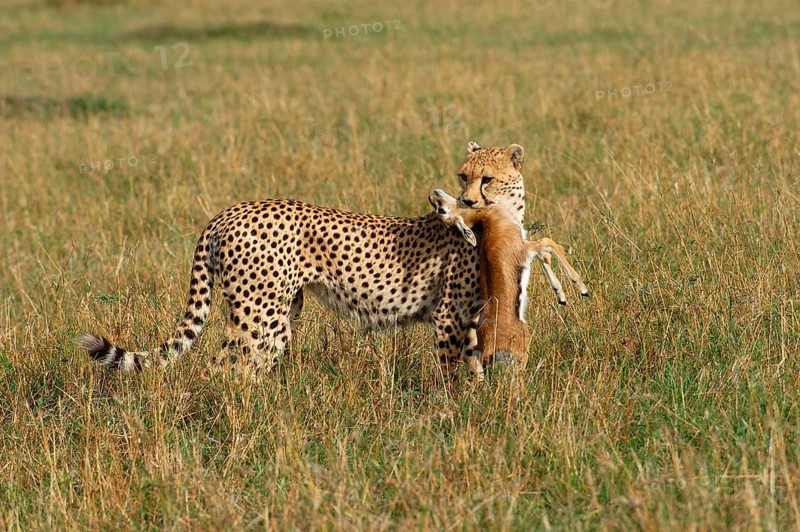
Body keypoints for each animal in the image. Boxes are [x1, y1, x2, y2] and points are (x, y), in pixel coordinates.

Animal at [77, 141, 528, 379]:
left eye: (486, 179)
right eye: (463, 176)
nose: (465, 202)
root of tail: (229, 210)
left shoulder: (476, 316)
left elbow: (476, 361)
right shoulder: (451, 314)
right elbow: (456, 370)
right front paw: (460, 408)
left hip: (279, 312)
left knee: (253, 363)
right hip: (258, 311)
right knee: (225, 365)